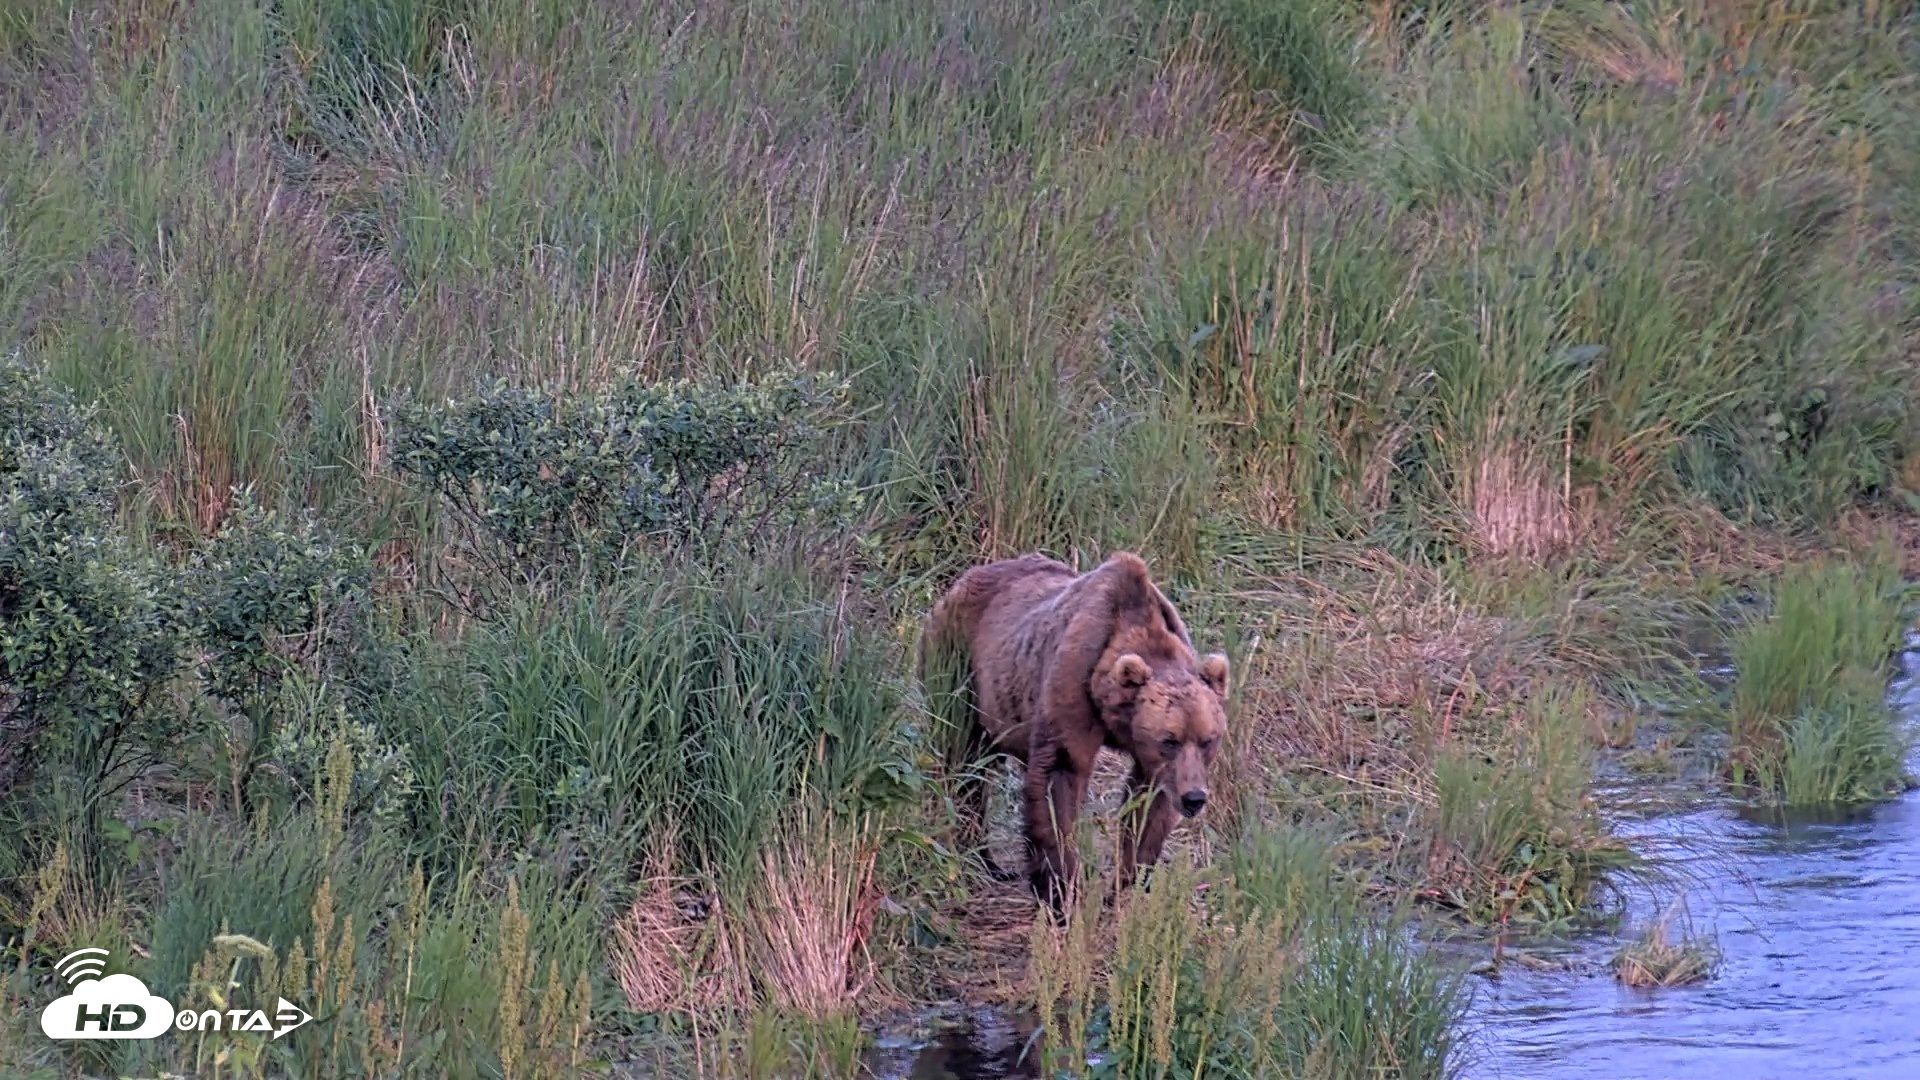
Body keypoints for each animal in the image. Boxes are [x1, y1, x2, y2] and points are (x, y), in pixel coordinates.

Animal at [917, 550, 1230, 920]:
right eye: (1169, 740)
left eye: (1208, 740)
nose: (1194, 798)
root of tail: (959, 582)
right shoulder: (1074, 685)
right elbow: (1060, 778)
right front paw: (1061, 893)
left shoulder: (1156, 761)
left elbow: (1147, 807)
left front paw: (1125, 886)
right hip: (959, 669)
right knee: (964, 764)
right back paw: (981, 858)